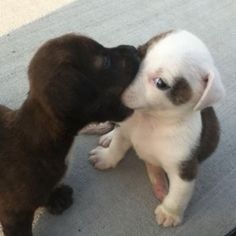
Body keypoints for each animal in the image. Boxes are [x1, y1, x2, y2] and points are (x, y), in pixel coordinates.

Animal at [88, 30, 225, 227]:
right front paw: (107, 157)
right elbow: (117, 146)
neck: (151, 120)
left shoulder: (184, 169)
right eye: (139, 53)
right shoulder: (126, 131)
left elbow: (179, 194)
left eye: (160, 83)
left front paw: (170, 212)